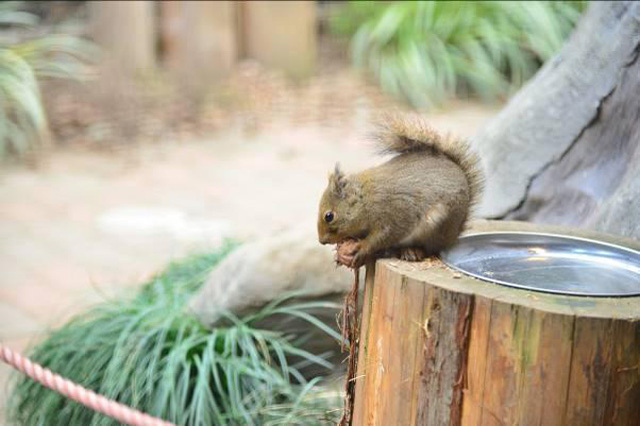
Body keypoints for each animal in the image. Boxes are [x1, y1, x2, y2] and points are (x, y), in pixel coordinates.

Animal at [318, 111, 482, 268]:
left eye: (329, 216)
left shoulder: (392, 215)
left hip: (436, 226)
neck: (365, 199)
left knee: (429, 249)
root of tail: (454, 234)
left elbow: (382, 237)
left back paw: (412, 251)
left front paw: (362, 248)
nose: (321, 241)